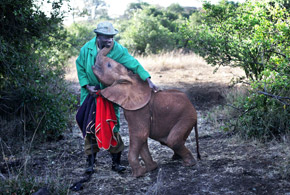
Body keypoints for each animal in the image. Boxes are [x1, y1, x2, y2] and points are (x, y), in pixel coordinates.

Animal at [92, 43, 201, 177]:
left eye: (108, 65)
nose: (109, 42)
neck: (131, 78)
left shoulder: (140, 110)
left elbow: (140, 134)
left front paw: (138, 174)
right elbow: (142, 138)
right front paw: (151, 168)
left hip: (187, 116)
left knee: (172, 140)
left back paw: (189, 164)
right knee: (171, 141)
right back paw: (177, 158)